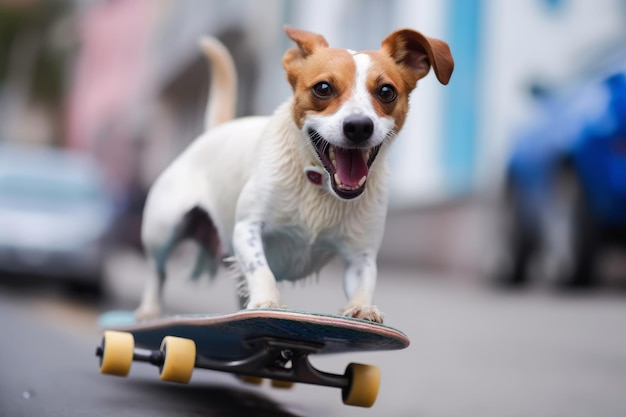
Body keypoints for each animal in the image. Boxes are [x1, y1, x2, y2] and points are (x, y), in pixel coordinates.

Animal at [134, 26, 450, 324]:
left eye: (386, 91)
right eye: (323, 88)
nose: (359, 126)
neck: (318, 184)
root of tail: (216, 132)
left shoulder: (361, 256)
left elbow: (364, 283)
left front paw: (362, 307)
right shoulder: (248, 228)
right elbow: (261, 270)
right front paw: (266, 302)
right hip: (162, 231)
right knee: (156, 272)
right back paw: (150, 309)